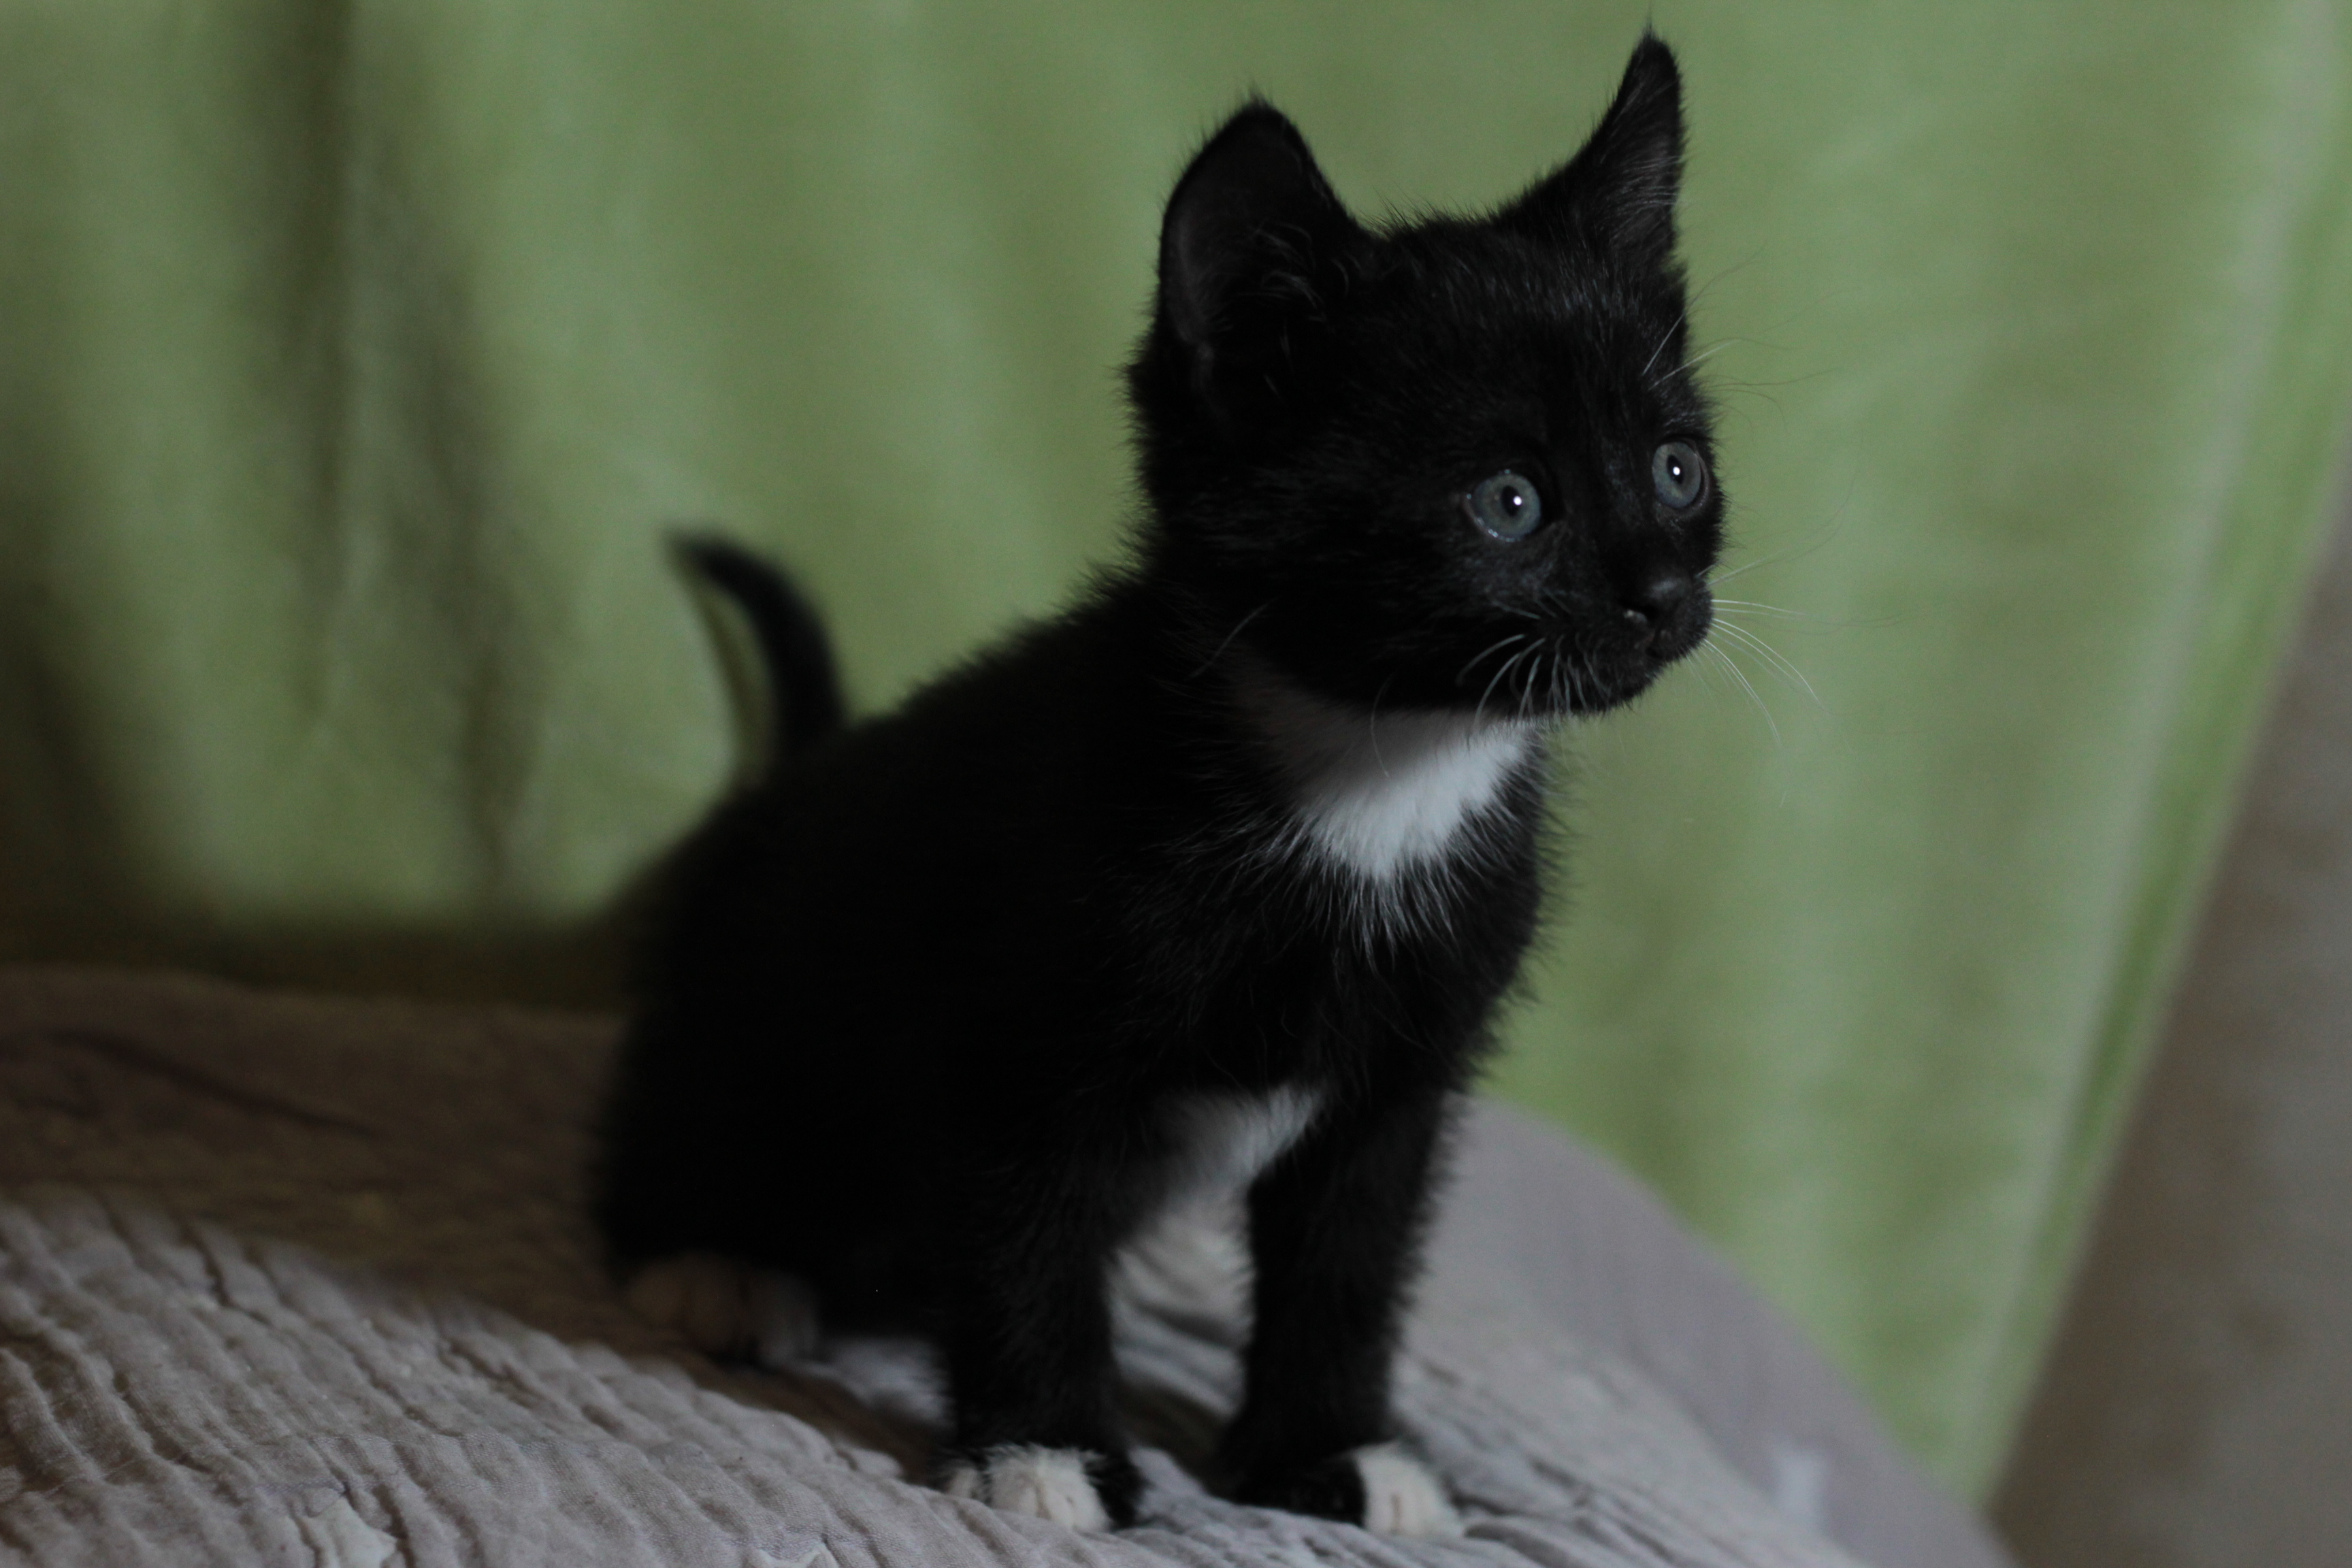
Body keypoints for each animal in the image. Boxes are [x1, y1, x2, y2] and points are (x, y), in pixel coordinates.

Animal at [596, 32, 1720, 1537]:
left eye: (1678, 469)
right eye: (1509, 504)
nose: (1662, 598)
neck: (1368, 778)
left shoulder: (1396, 1081)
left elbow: (1348, 1264)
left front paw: (1331, 1451)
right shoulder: (1012, 1034)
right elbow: (1028, 1241)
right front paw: (1045, 1448)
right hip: (750, 1002)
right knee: (687, 1111)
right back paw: (712, 1259)